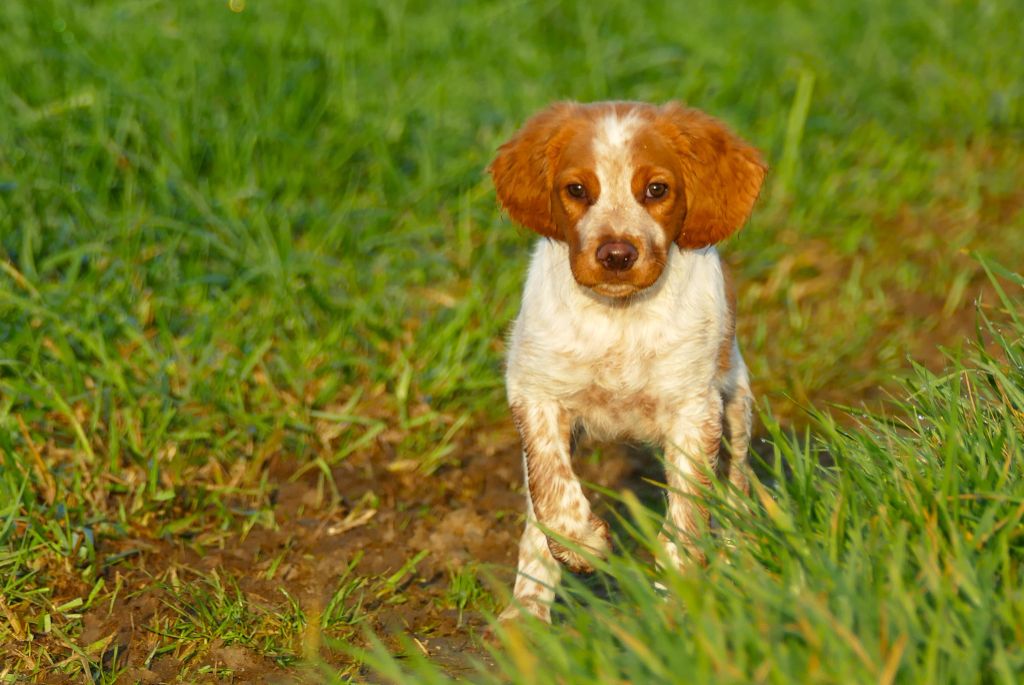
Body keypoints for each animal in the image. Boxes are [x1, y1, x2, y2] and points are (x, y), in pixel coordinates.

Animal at [489, 100, 770, 618]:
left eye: (656, 189)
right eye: (577, 190)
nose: (617, 254)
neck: (619, 317)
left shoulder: (695, 412)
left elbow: (687, 515)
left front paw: (676, 604)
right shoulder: (533, 389)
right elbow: (552, 492)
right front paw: (583, 547)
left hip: (737, 403)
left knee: (737, 482)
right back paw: (525, 611)